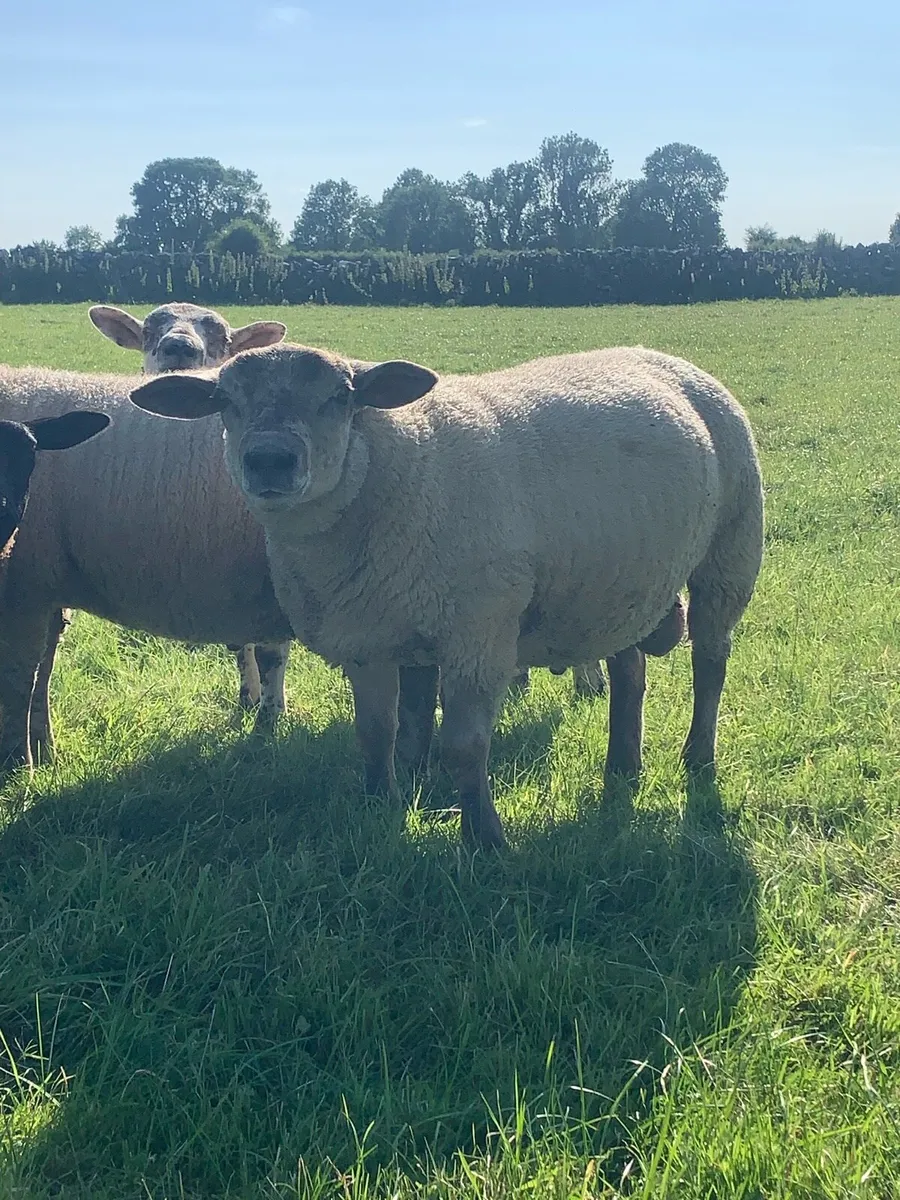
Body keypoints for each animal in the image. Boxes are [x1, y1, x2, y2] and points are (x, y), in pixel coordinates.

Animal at [20, 302, 292, 757]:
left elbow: (271, 650)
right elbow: (244, 645)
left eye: (222, 339)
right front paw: (249, 702)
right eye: (148, 332)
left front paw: (267, 721)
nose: (178, 347)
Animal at [130, 343, 764, 849]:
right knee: (630, 671)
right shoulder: (367, 636)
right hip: (615, 584)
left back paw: (697, 759)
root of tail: (661, 355)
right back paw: (622, 771)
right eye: (224, 400)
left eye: (342, 395)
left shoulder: (478, 634)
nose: (269, 461)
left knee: (711, 662)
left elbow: (463, 746)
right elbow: (376, 734)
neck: (392, 463)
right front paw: (379, 808)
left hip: (731, 548)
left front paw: (486, 841)